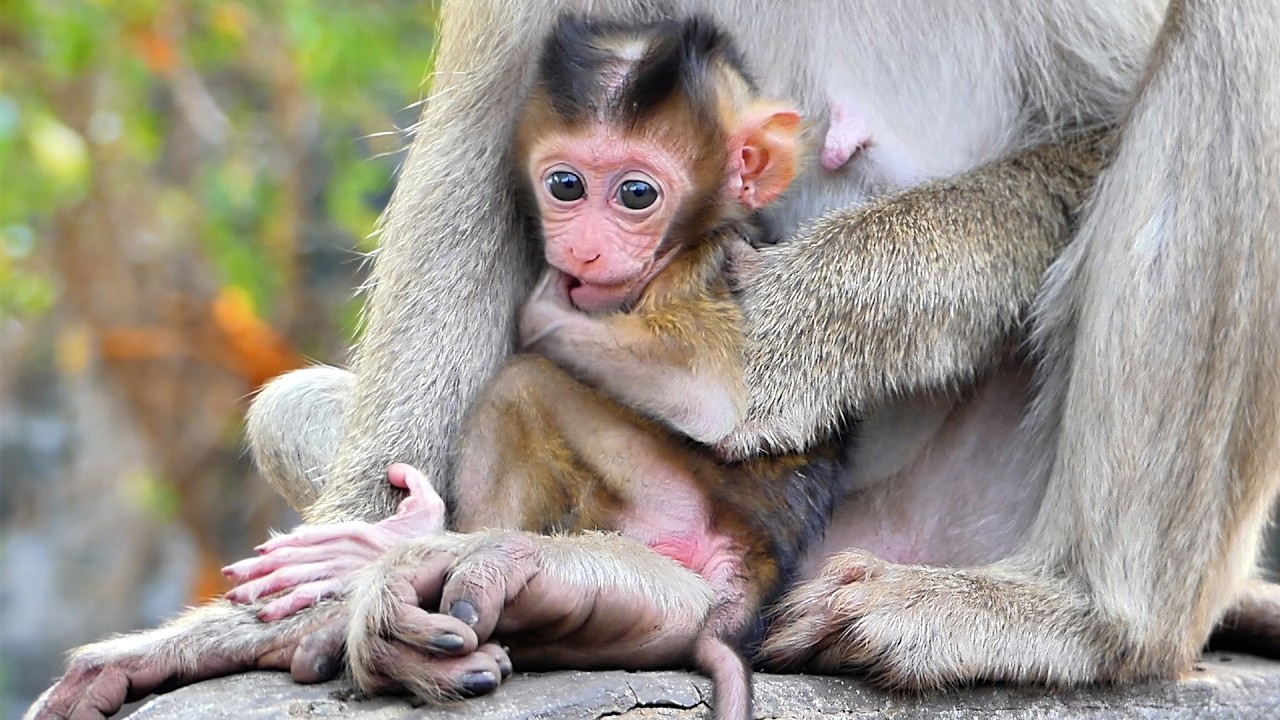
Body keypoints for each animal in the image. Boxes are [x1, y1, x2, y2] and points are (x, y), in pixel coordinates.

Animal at [25, 0, 1280, 717]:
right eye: (570, 185)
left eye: (639, 194)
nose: (592, 247)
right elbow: (472, 176)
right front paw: (312, 591)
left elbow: (1095, 126)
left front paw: (748, 354)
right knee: (299, 404)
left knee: (1231, 25)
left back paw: (1089, 618)